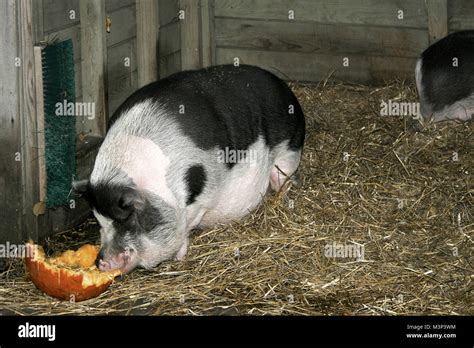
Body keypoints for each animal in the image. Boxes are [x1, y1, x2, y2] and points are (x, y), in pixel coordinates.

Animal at [73, 64, 304, 274]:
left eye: (125, 220)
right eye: (99, 220)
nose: (100, 262)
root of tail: (285, 88)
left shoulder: (201, 195)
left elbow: (186, 226)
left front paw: (178, 258)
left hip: (288, 150)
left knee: (283, 179)